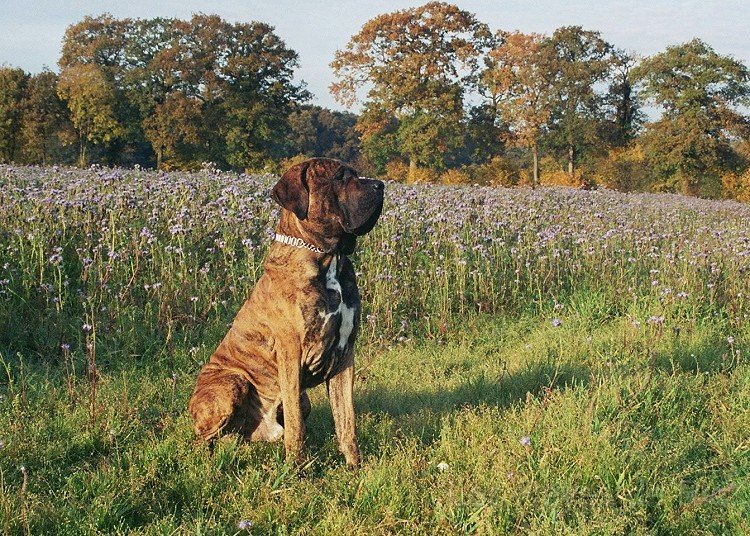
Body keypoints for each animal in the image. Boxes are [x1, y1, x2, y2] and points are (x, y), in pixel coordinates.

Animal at [188, 156, 388, 464]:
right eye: (339, 177)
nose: (380, 185)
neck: (329, 258)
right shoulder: (291, 353)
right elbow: (296, 426)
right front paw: (297, 467)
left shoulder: (345, 356)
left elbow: (347, 421)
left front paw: (355, 466)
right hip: (231, 383)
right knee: (203, 440)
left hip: (299, 401)